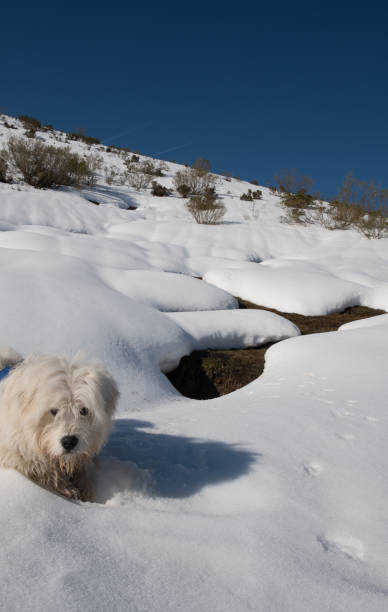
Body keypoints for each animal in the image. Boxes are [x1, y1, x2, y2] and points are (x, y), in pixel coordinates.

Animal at [0, 346, 119, 500]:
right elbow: (36, 466)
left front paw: (85, 486)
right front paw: (66, 488)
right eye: (53, 410)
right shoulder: (11, 452)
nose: (69, 442)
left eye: (84, 410)